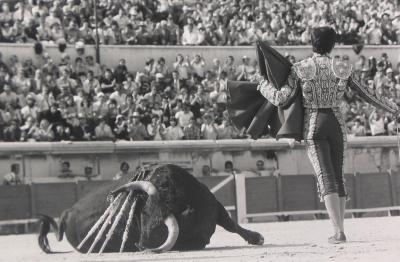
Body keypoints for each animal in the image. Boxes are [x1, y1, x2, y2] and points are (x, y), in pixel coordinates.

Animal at [36, 165, 262, 253]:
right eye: (141, 216)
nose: (139, 244)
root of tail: (68, 212)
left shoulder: (213, 203)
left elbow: (231, 223)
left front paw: (256, 237)